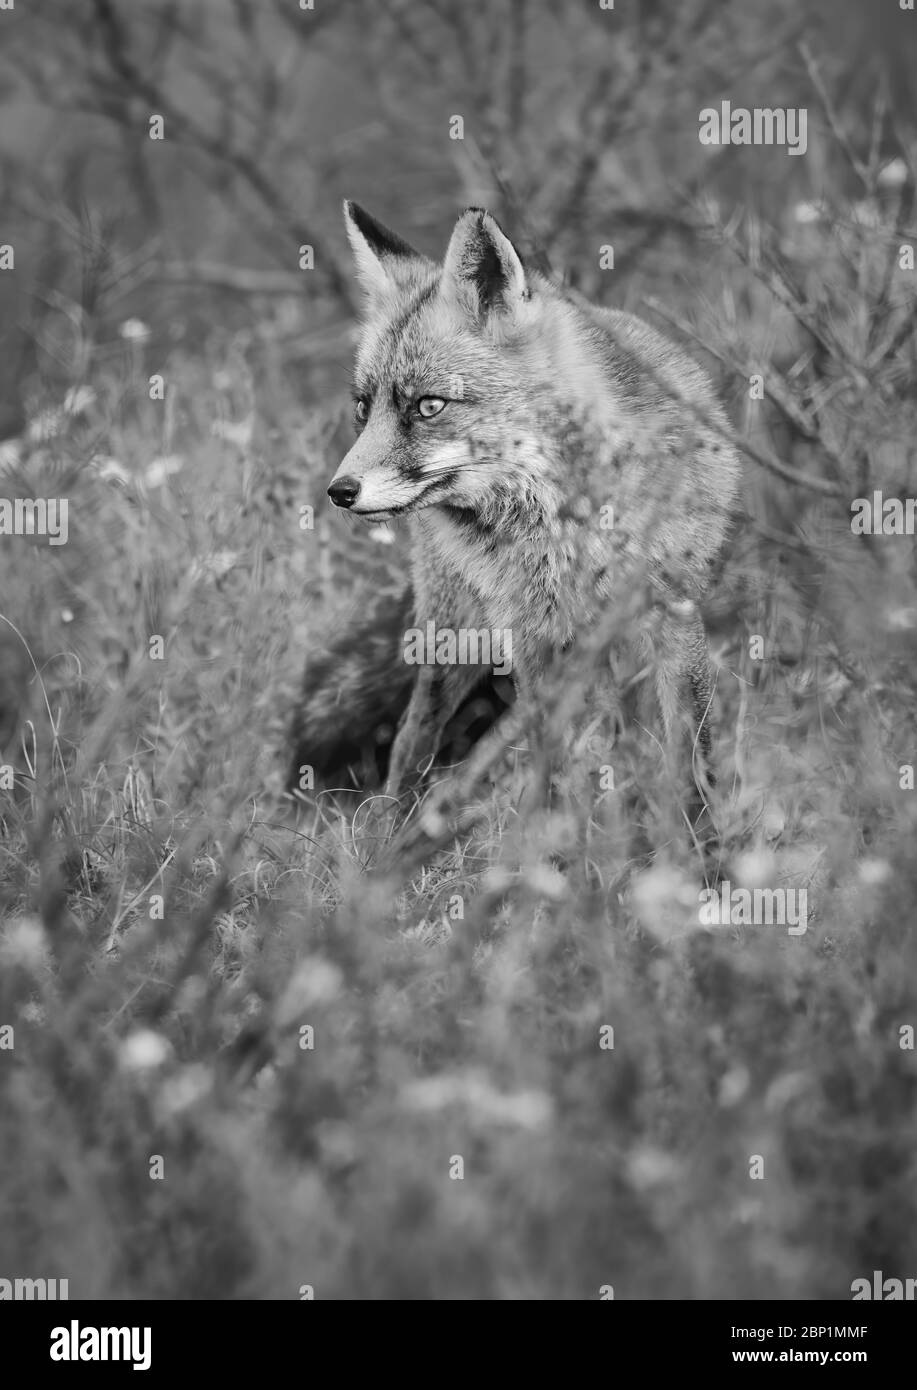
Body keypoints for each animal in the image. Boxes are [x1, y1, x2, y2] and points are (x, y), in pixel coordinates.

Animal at [290, 202, 739, 828]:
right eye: (363, 408)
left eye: (428, 406)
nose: (339, 491)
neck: (567, 528)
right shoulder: (534, 640)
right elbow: (554, 764)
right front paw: (550, 845)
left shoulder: (674, 614)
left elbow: (690, 750)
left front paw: (700, 842)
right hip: (453, 637)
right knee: (411, 738)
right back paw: (391, 836)